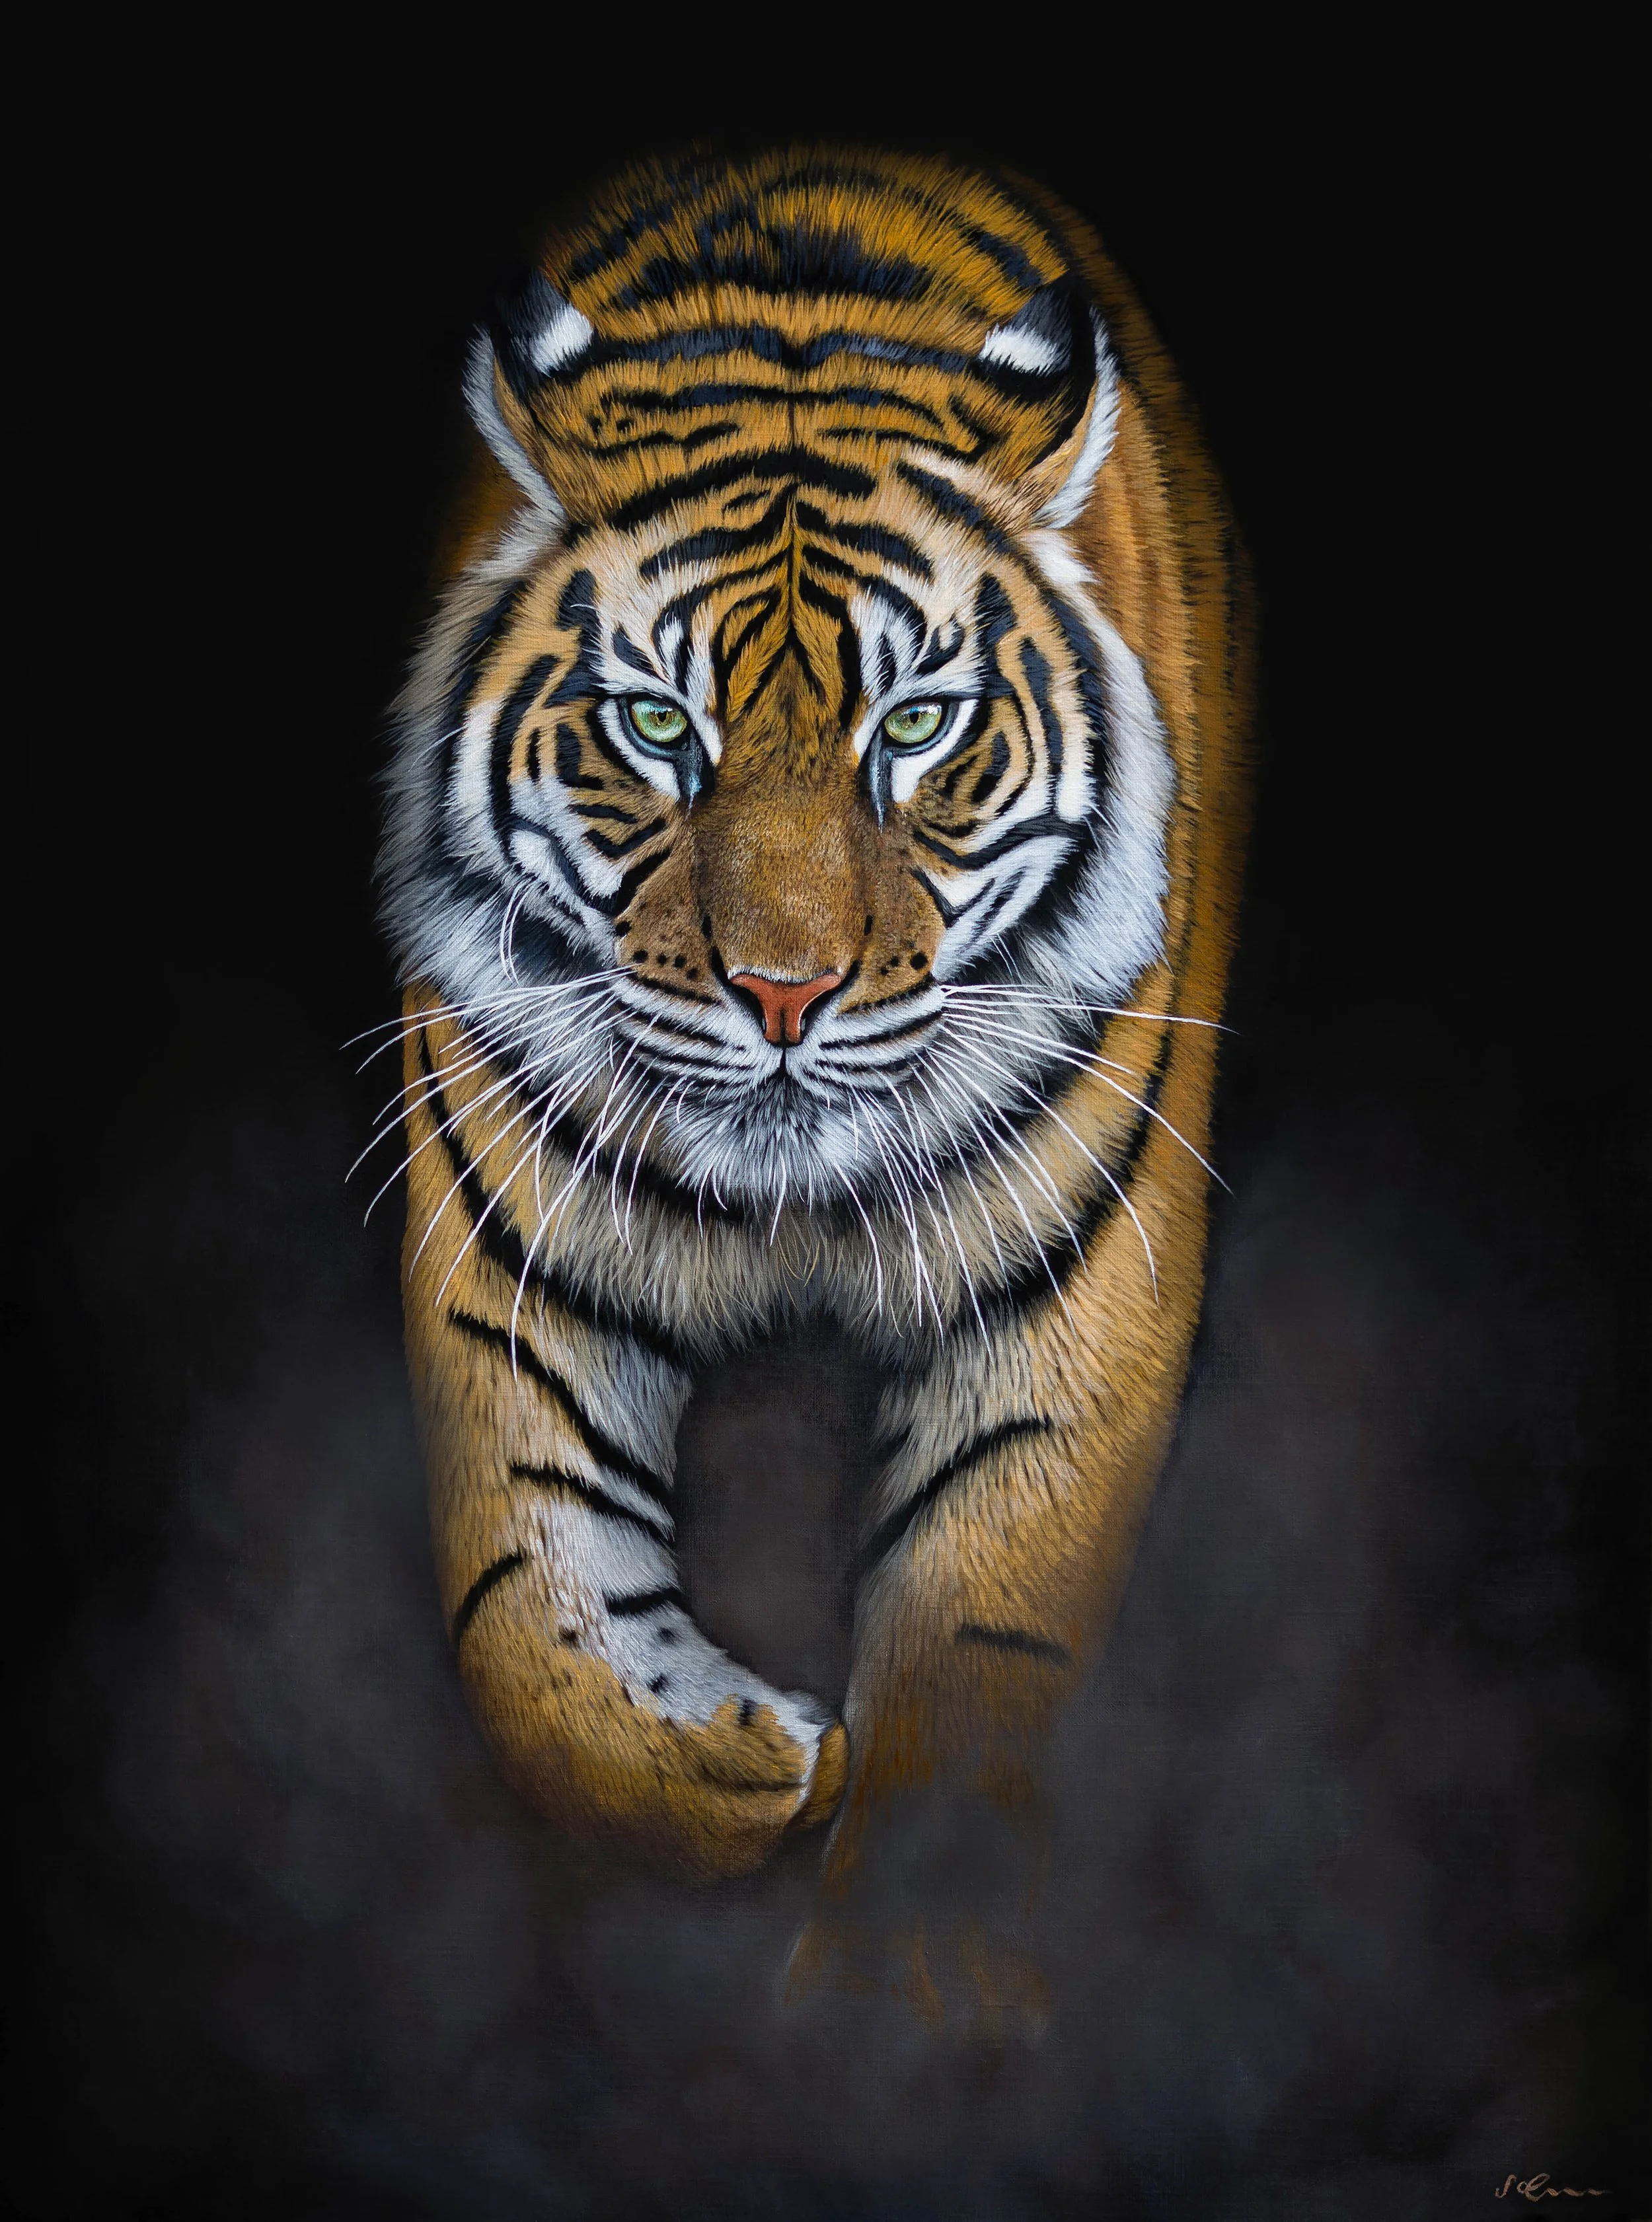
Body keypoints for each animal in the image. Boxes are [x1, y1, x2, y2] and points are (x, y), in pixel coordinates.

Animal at [377, 143, 1252, 1888]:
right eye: (657, 724)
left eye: (912, 726)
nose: (782, 989)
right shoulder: (500, 1245)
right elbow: (527, 1621)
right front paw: (741, 1759)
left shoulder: (1077, 1291)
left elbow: (981, 1645)